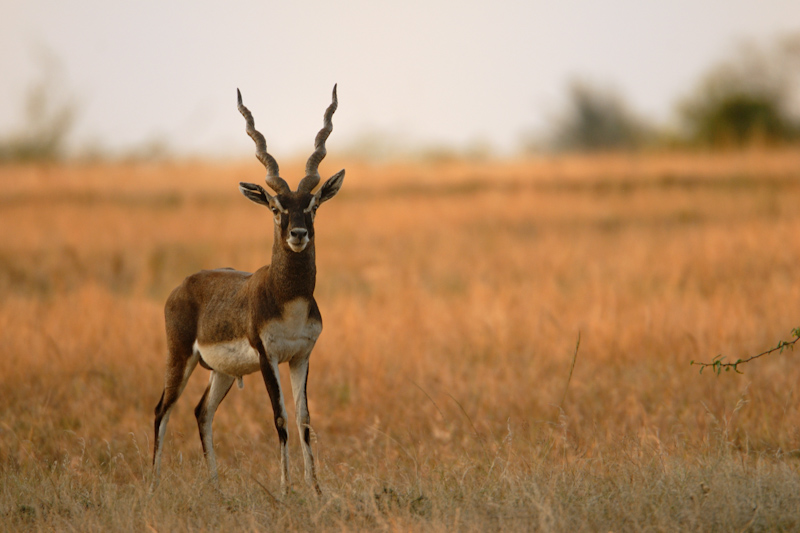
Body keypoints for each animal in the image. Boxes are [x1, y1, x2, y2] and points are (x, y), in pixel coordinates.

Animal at [152, 84, 346, 494]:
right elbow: (280, 418)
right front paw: (287, 490)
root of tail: (183, 285)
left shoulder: (302, 356)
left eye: (313, 205)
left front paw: (317, 491)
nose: (298, 234)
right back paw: (153, 488)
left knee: (201, 411)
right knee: (162, 410)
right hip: (179, 358)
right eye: (275, 208)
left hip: (222, 372)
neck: (287, 300)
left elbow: (304, 420)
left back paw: (216, 489)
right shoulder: (266, 355)